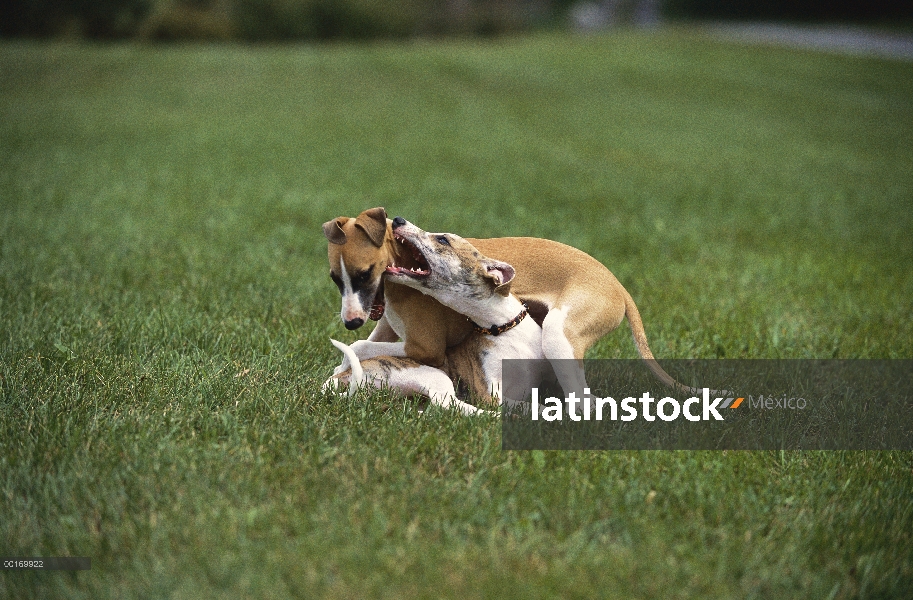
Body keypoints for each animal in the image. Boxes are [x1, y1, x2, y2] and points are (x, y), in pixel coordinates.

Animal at [322, 206, 684, 394]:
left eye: (364, 274)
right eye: (335, 279)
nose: (351, 321)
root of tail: (619, 287)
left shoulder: (426, 347)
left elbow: (360, 347)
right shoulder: (387, 326)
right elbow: (361, 346)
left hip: (558, 335)